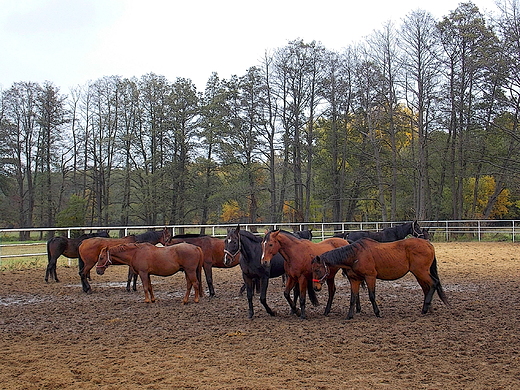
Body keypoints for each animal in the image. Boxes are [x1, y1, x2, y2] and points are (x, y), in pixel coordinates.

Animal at [310, 236, 448, 318]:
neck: (355, 255)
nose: (315, 287)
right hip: (420, 274)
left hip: (421, 272)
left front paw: (377, 313)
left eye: (317, 269)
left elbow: (371, 296)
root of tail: (428, 244)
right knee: (428, 287)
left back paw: (425, 308)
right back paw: (428, 308)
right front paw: (350, 315)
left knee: (434, 283)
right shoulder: (355, 280)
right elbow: (353, 297)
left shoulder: (370, 277)